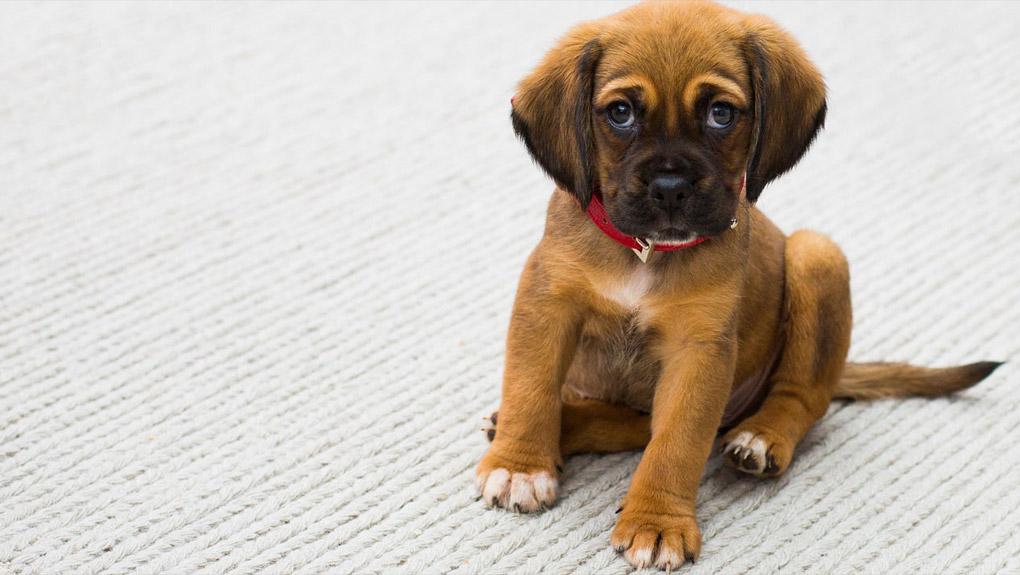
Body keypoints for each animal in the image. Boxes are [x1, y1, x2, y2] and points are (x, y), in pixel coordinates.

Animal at [477, 1, 1003, 570]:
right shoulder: (546, 306)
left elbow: (677, 443)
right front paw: (521, 465)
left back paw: (762, 437)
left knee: (801, 397)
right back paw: (559, 426)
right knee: (632, 423)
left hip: (817, 256)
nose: (670, 188)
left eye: (720, 114)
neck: (645, 252)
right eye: (620, 113)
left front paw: (657, 522)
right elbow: (530, 387)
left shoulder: (699, 352)